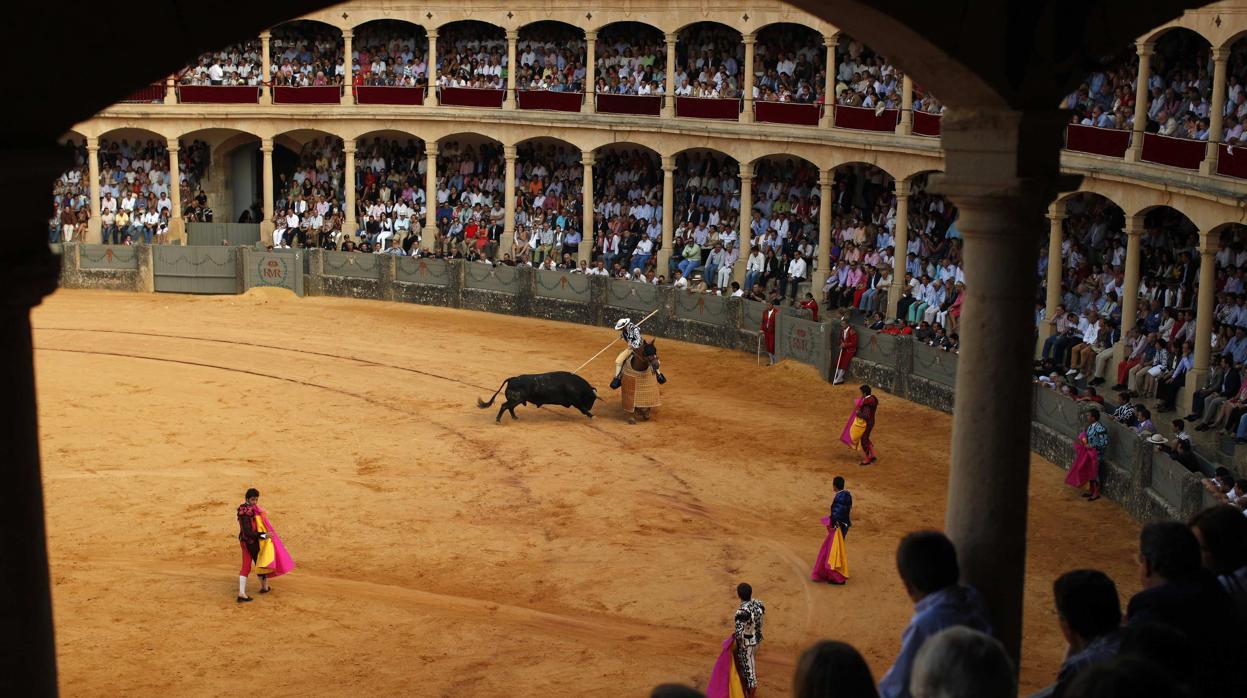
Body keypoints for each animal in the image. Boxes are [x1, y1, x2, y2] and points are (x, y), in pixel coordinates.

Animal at [473, 371, 601, 418]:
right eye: (591, 399)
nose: (590, 407)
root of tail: (512, 379)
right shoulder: (576, 401)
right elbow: (582, 408)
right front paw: (591, 415)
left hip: (518, 400)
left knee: (510, 408)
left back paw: (515, 417)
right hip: (516, 399)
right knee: (505, 406)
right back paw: (498, 420)